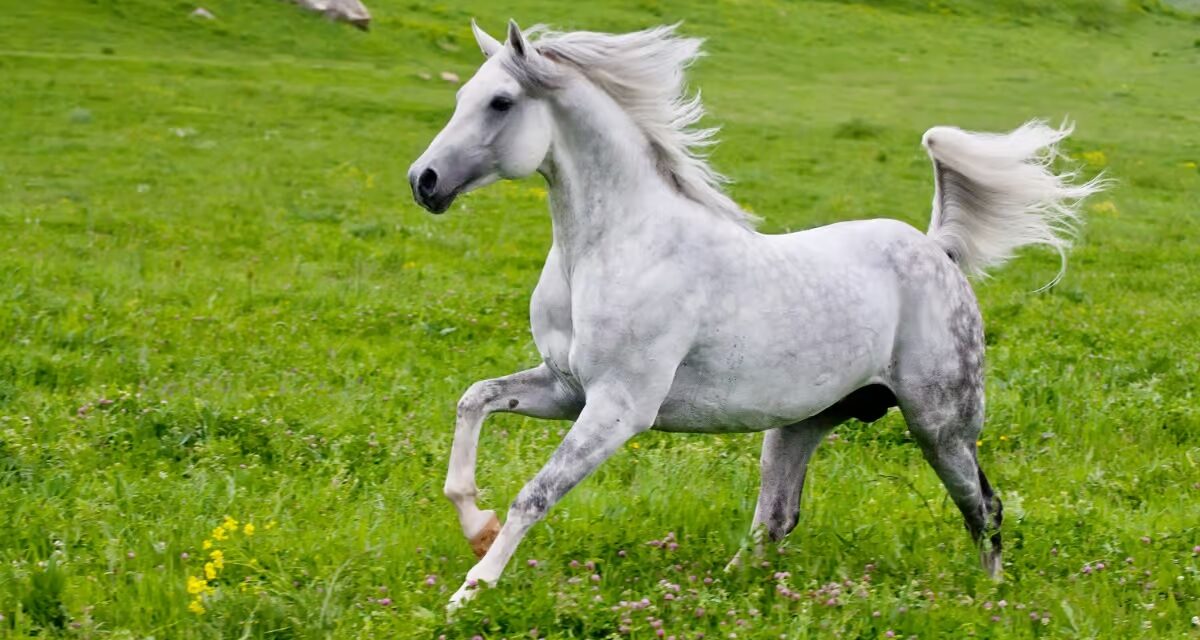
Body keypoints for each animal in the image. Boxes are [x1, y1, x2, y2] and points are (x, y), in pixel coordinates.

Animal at [408, 19, 1106, 610]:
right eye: (464, 94)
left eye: (500, 102)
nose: (424, 181)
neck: (617, 248)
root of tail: (938, 249)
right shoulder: (565, 388)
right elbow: (475, 399)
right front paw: (474, 523)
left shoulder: (618, 408)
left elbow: (536, 494)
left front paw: (470, 590)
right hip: (800, 425)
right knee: (776, 519)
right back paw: (721, 593)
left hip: (942, 425)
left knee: (985, 507)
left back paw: (991, 601)